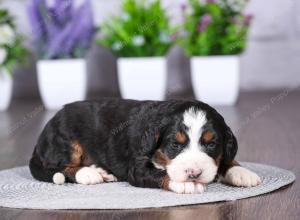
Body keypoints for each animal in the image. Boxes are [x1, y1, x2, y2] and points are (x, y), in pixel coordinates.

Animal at [29, 99, 262, 193]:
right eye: (175, 145)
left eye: (211, 143)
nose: (194, 173)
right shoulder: (138, 166)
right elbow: (160, 174)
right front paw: (186, 184)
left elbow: (227, 159)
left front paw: (242, 172)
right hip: (66, 141)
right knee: (57, 167)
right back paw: (88, 174)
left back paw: (101, 171)